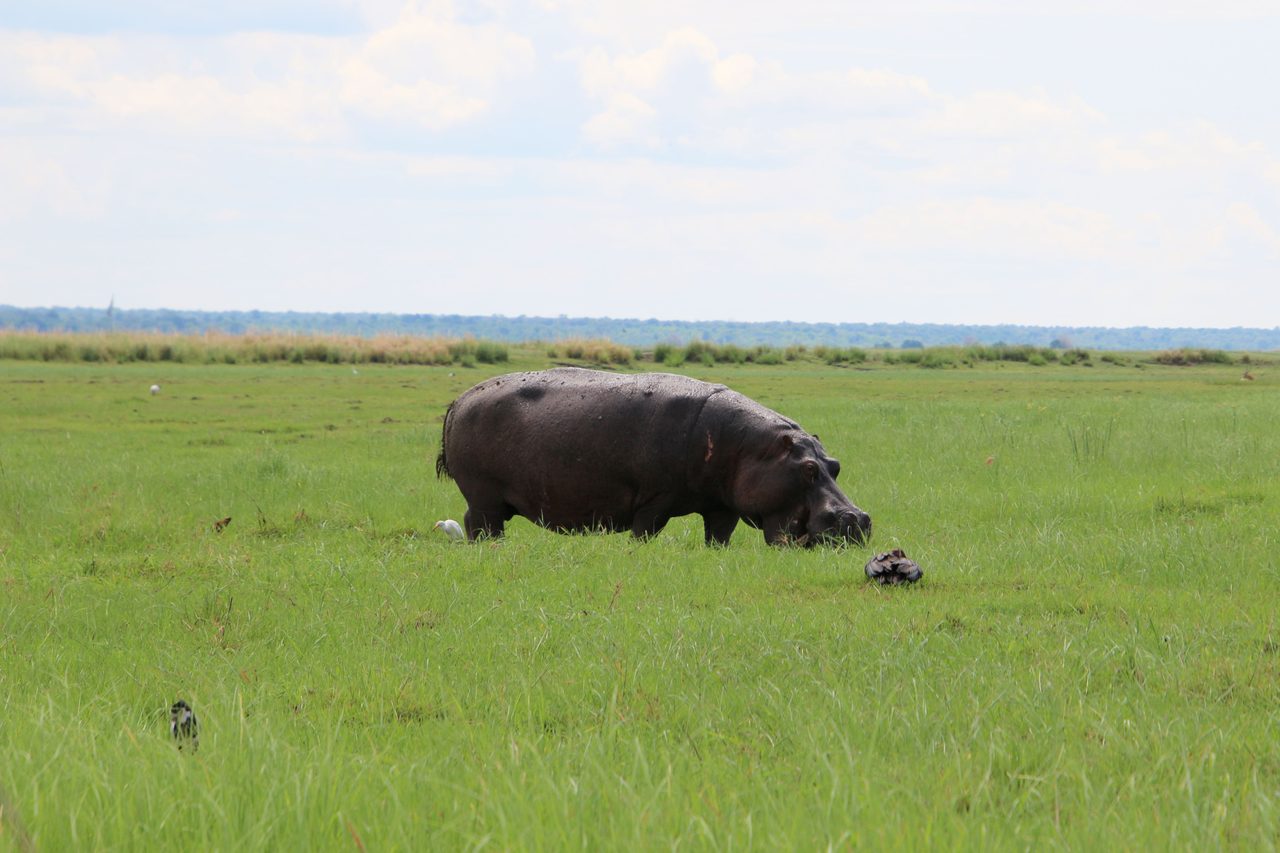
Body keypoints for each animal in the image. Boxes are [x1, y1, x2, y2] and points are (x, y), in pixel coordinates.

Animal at [436, 367, 871, 546]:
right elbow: (644, 531)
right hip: (485, 497)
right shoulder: (654, 500)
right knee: (481, 524)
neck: (750, 447)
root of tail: (458, 401)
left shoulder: (722, 506)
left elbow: (719, 536)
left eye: (835, 465)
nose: (858, 519)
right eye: (808, 468)